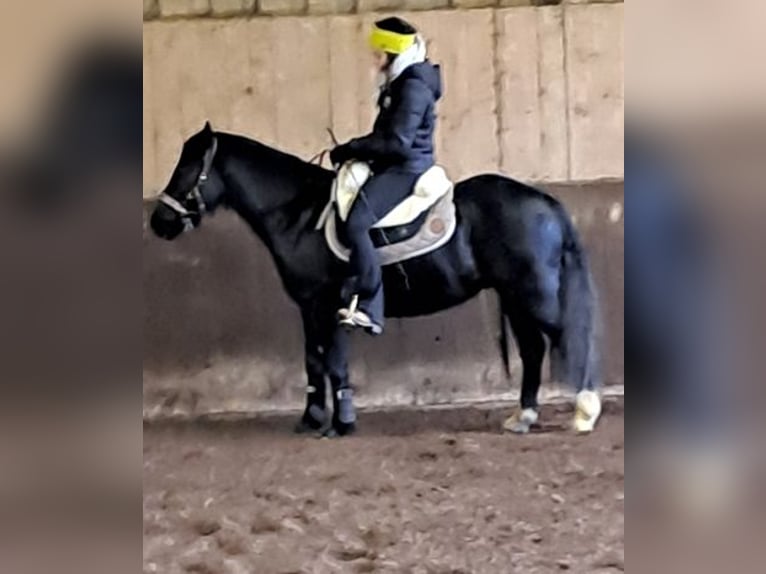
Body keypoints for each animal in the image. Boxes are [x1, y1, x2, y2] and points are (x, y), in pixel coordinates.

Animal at [149, 122, 602, 437]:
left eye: (189, 166)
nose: (159, 222)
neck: (298, 213)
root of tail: (544, 201)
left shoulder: (326, 303)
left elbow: (333, 362)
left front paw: (341, 423)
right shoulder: (309, 307)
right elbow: (313, 361)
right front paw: (312, 419)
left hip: (533, 294)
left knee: (567, 337)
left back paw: (585, 411)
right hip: (514, 296)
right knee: (533, 350)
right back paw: (524, 416)